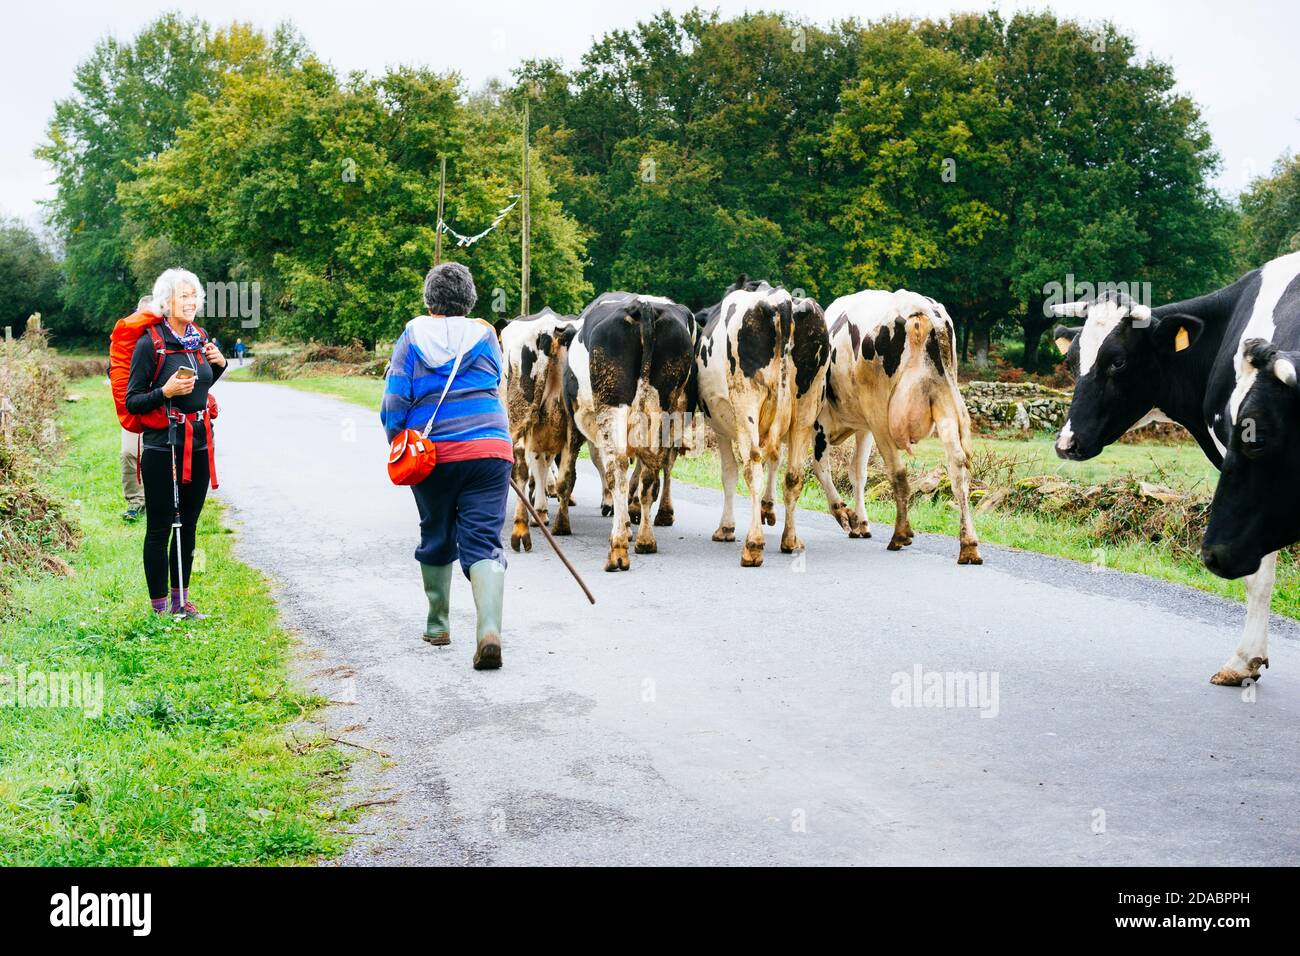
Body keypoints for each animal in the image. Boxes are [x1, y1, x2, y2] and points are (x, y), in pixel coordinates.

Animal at [564, 291, 696, 572]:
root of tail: (643, 306)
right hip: (665, 406)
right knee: (653, 470)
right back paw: (646, 539)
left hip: (612, 403)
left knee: (618, 468)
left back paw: (618, 548)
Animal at [696, 277, 826, 564]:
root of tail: (782, 300)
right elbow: (775, 459)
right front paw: (768, 507)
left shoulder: (719, 426)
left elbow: (729, 472)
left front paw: (726, 528)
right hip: (806, 406)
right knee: (794, 474)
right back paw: (790, 540)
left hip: (747, 401)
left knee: (752, 465)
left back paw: (753, 545)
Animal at [806, 287, 977, 564]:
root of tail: (921, 307)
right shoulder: (863, 427)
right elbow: (858, 472)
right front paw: (861, 522)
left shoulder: (821, 424)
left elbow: (820, 469)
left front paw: (845, 515)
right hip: (944, 400)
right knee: (958, 464)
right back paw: (969, 545)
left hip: (881, 414)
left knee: (898, 471)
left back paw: (900, 534)